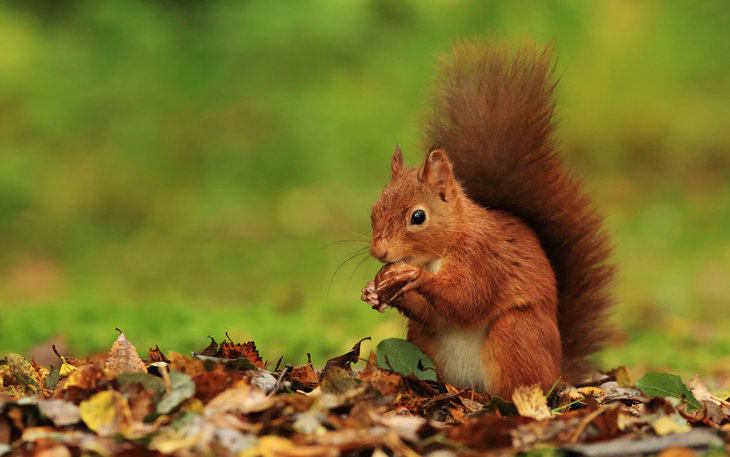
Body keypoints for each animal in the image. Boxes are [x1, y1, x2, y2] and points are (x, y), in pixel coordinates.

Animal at [362, 40, 612, 400]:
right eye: (374, 210)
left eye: (418, 217)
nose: (378, 253)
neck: (439, 252)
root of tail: (559, 372)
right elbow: (431, 314)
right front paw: (373, 291)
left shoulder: (484, 258)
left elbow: (468, 298)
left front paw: (412, 276)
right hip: (425, 343)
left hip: (516, 333)